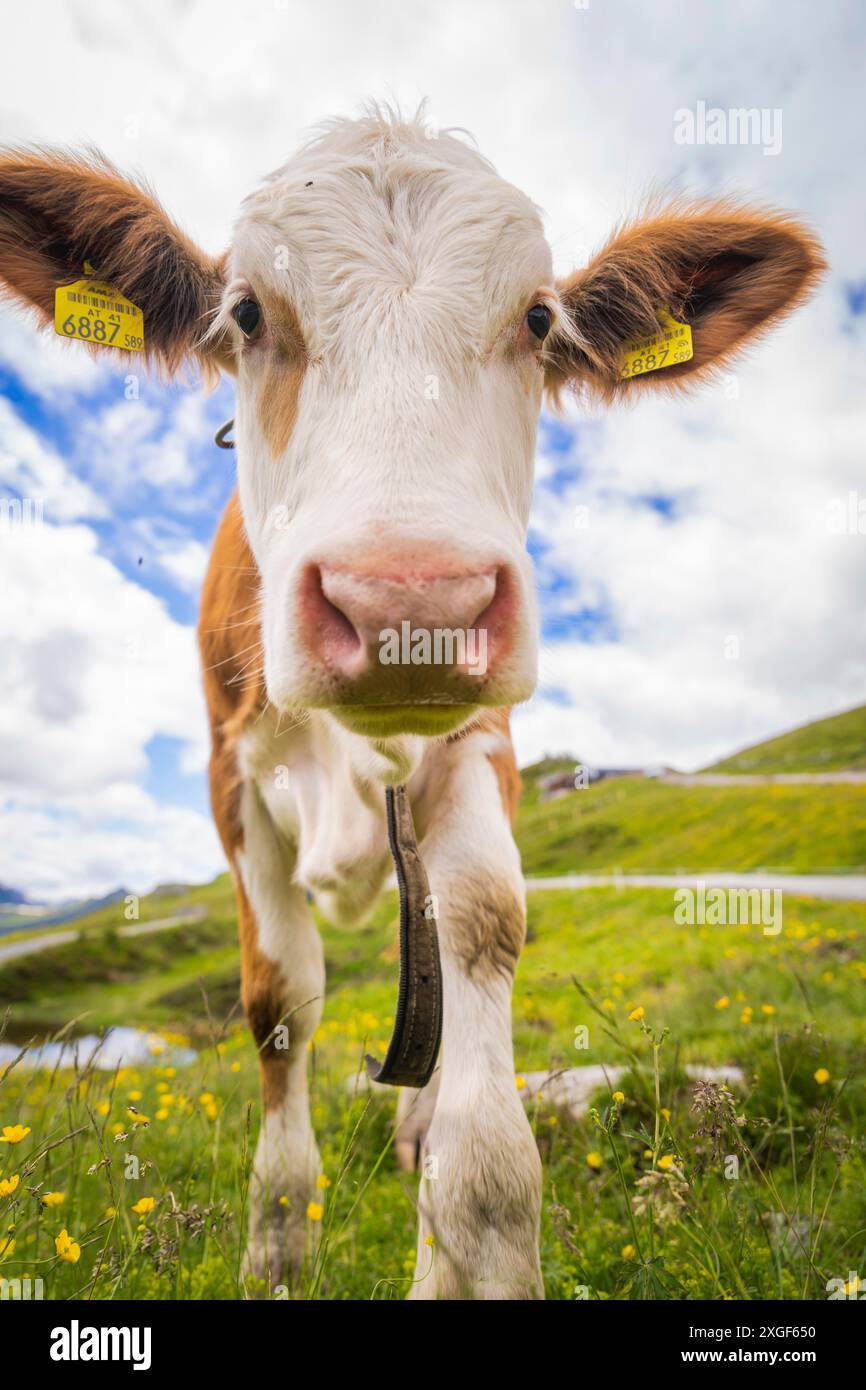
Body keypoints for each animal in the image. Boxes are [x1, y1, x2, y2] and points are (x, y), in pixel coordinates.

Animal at [0, 108, 824, 1299]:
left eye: (537, 319)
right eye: (247, 313)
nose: (408, 604)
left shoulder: (482, 747)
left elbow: (481, 939)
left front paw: (464, 1223)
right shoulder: (228, 782)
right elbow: (277, 997)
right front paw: (277, 1245)